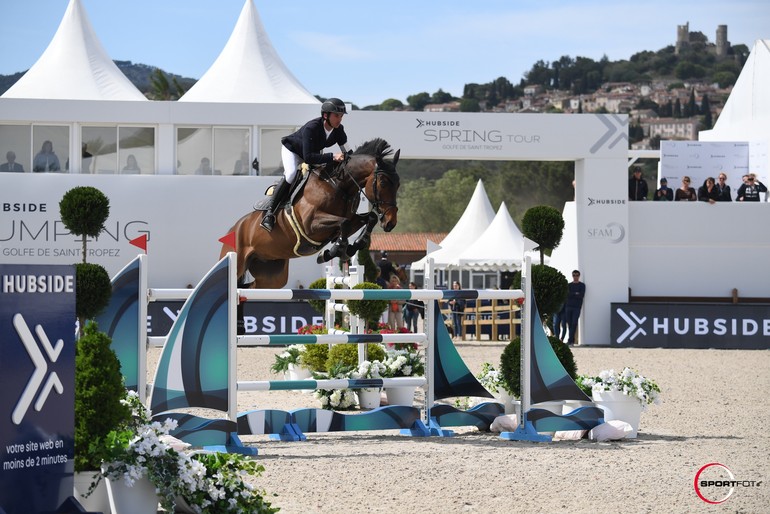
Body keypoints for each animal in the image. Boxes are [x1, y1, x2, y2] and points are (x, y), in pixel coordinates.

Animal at [220, 137, 400, 288]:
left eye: (398, 184)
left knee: (252, 287)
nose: (391, 222)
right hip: (238, 262)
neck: (339, 186)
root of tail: (234, 228)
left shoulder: (349, 219)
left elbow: (369, 218)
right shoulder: (310, 225)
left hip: (272, 274)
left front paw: (354, 245)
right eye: (383, 183)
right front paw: (334, 251)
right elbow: (343, 223)